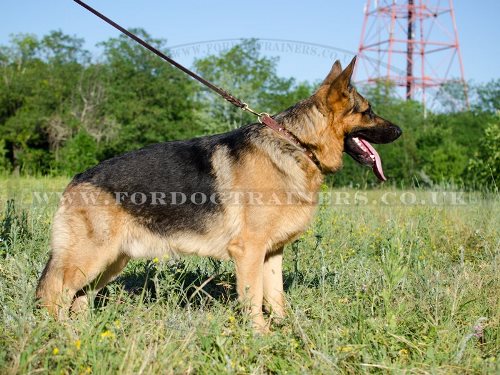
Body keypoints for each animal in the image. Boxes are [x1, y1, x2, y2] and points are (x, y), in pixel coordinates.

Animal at [35, 57, 402, 330]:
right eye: (368, 110)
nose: (400, 131)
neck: (298, 144)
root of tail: (77, 179)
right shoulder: (249, 252)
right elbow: (254, 300)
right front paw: (260, 338)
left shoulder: (271, 254)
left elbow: (276, 298)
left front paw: (286, 332)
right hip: (88, 260)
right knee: (54, 295)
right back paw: (56, 338)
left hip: (110, 262)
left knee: (79, 301)